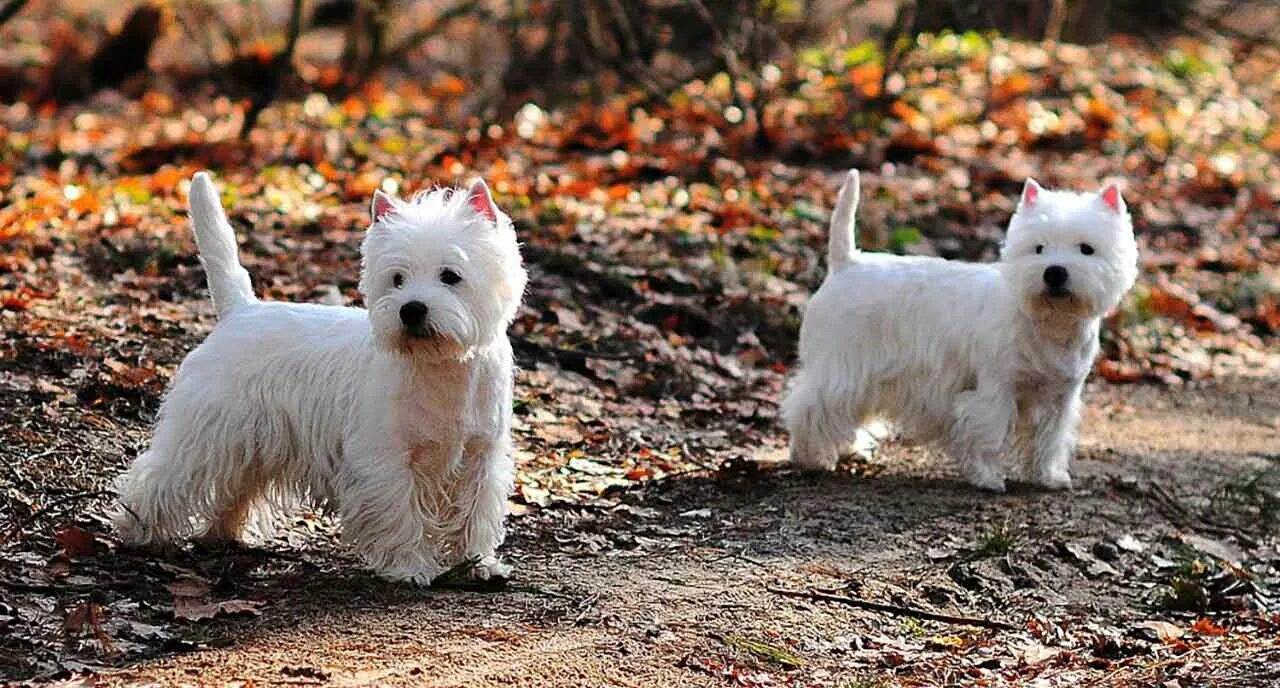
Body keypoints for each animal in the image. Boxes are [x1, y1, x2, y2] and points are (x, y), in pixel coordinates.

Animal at [115, 170, 524, 578]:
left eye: (451, 276)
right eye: (397, 279)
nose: (411, 310)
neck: (446, 366)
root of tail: (241, 310)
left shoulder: (480, 455)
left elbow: (474, 512)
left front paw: (477, 563)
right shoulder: (386, 457)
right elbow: (400, 512)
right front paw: (410, 566)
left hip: (252, 438)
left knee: (237, 486)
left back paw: (225, 534)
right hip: (207, 430)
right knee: (163, 475)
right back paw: (138, 531)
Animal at [783, 168, 1136, 488]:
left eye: (1086, 248)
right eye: (1038, 248)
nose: (1054, 272)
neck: (1050, 323)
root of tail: (846, 263)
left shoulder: (1059, 397)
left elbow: (1049, 441)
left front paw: (1049, 477)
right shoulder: (996, 388)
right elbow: (990, 433)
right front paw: (988, 478)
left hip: (864, 375)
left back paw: (851, 449)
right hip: (842, 365)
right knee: (810, 405)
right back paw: (812, 457)